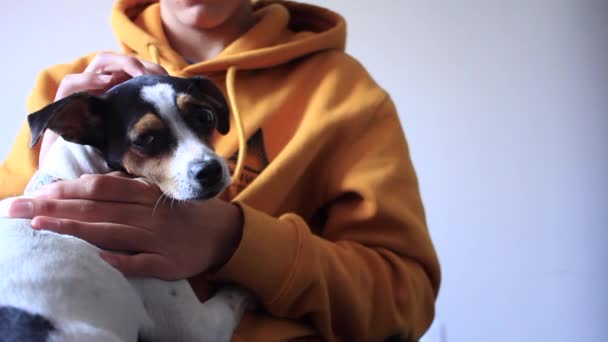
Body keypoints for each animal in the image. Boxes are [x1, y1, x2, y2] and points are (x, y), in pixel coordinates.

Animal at [0, 75, 249, 342]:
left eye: (205, 116)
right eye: (145, 139)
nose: (211, 171)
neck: (69, 179)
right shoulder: (197, 324)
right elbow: (236, 292)